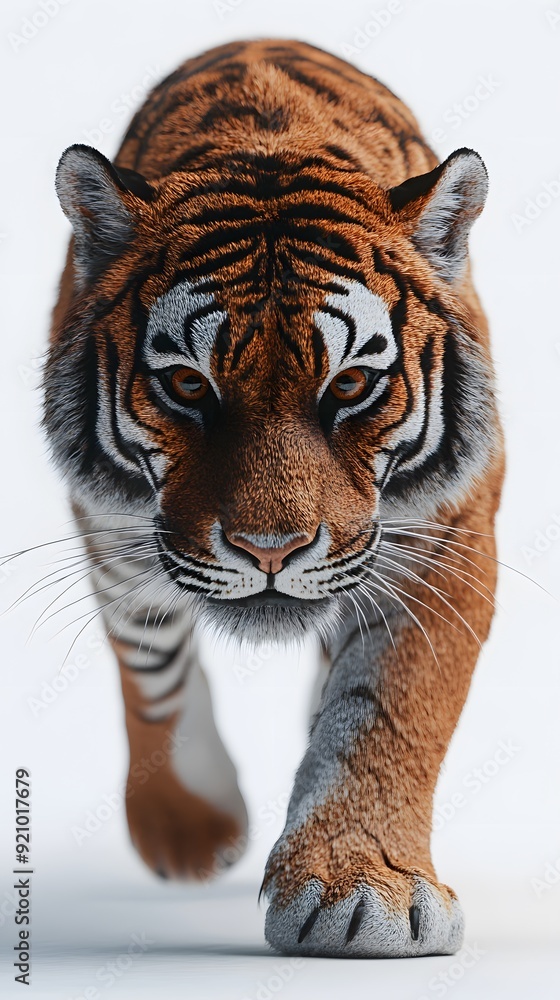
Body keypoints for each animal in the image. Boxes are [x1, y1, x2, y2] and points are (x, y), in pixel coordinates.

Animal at [44, 38, 504, 958]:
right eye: (188, 385)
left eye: (352, 384)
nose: (270, 551)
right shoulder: (113, 531)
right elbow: (151, 660)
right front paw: (194, 827)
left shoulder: (445, 537)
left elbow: (387, 708)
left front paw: (355, 892)